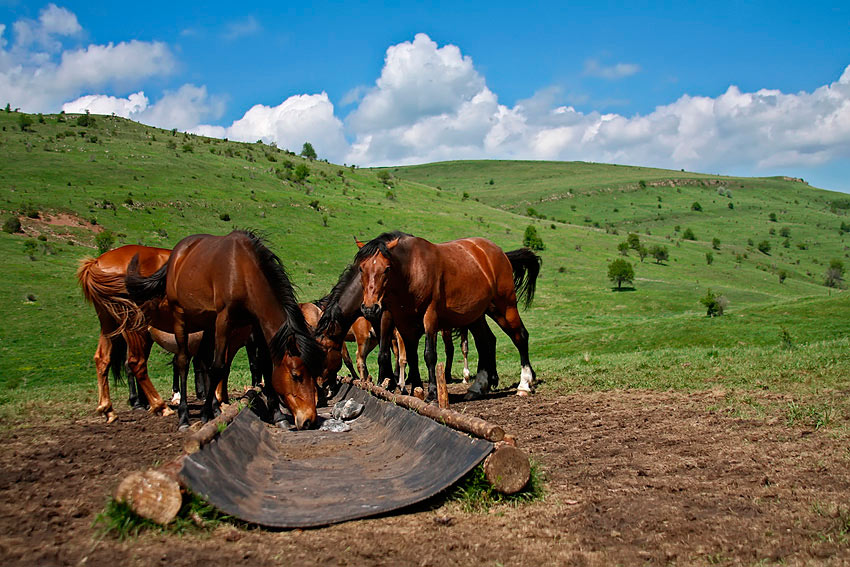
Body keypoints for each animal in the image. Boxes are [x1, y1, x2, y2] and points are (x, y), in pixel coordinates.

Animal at [124, 231, 322, 430]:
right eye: (296, 375)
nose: (309, 420)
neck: (244, 271)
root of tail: (177, 254)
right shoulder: (224, 320)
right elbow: (218, 366)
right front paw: (204, 414)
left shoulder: (256, 324)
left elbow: (264, 365)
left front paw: (278, 416)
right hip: (180, 317)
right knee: (182, 362)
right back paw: (183, 416)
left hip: (207, 322)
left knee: (203, 360)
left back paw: (213, 408)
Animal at [354, 232, 540, 404]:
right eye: (361, 268)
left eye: (386, 268)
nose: (370, 308)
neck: (412, 272)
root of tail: (499, 253)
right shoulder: (404, 324)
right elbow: (412, 357)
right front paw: (415, 390)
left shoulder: (430, 317)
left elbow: (429, 355)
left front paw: (431, 394)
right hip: (477, 315)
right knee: (484, 342)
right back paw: (478, 387)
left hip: (505, 307)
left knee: (520, 336)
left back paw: (524, 384)